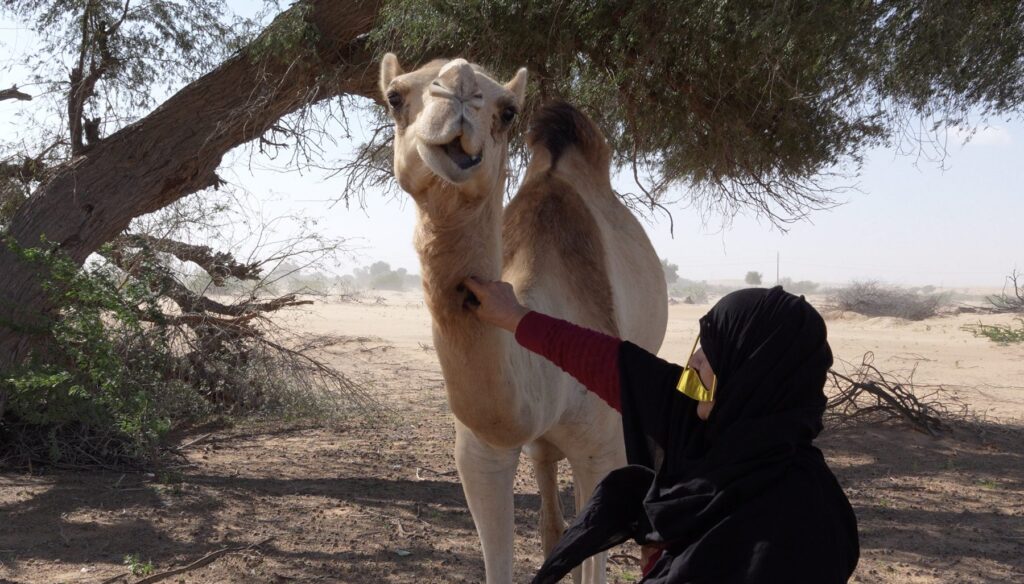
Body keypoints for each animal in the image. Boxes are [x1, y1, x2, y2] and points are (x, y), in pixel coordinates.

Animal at [379, 54, 668, 583]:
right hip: (541, 449)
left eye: (508, 111)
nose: (458, 88)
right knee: (553, 511)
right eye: (394, 96)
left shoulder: (602, 450)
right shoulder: (480, 455)